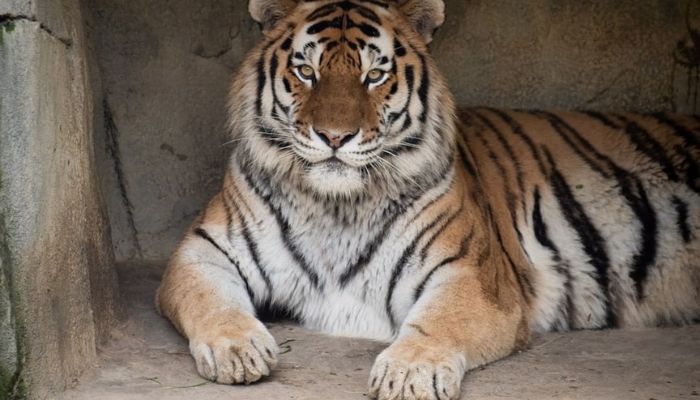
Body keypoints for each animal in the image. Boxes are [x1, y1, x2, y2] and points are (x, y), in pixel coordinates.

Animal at [155, 0, 700, 399]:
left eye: (374, 76)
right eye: (306, 71)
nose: (335, 137)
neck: (336, 206)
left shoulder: (472, 274)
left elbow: (440, 321)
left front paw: (408, 373)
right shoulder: (202, 250)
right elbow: (211, 302)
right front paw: (238, 350)